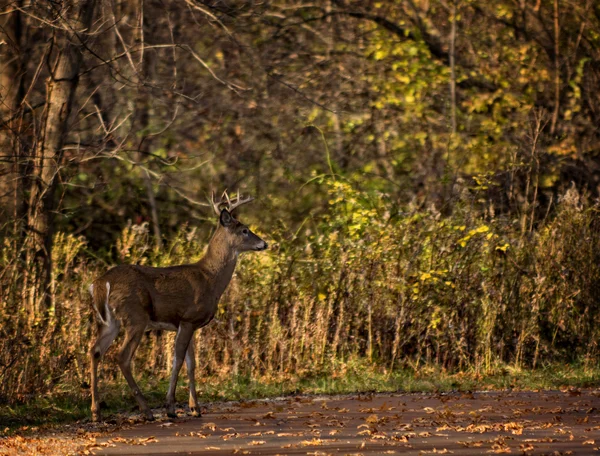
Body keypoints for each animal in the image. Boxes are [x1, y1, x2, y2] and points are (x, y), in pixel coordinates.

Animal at [87, 191, 268, 422]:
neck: (210, 279)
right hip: (135, 316)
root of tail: (101, 283)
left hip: (109, 321)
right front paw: (171, 407)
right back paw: (146, 411)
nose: (264, 243)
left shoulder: (188, 324)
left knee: (95, 351)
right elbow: (178, 360)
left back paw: (96, 412)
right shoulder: (188, 317)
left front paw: (195, 408)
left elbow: (191, 364)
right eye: (244, 230)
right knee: (122, 356)